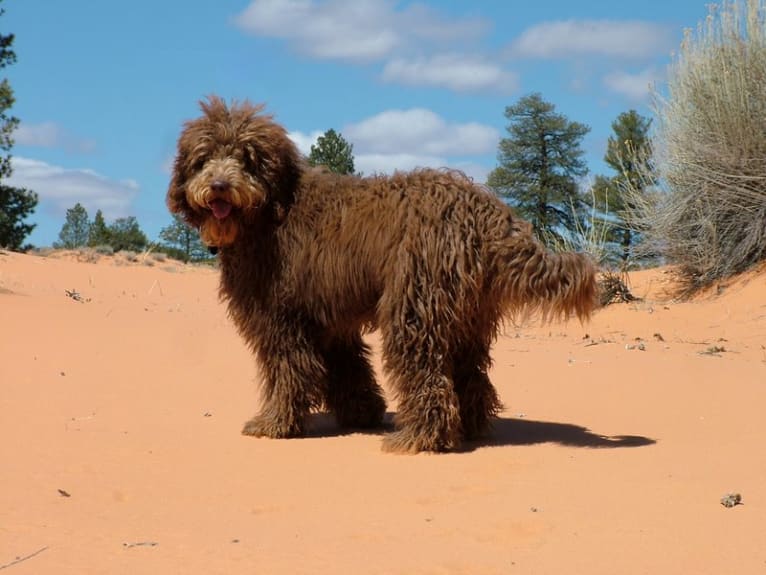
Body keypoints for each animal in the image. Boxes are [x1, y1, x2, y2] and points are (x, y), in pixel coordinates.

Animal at [170, 97, 600, 452]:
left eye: (246, 158)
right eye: (204, 158)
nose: (219, 187)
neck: (271, 209)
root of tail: (485, 211)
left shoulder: (282, 318)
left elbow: (288, 371)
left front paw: (274, 423)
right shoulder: (329, 320)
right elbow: (347, 369)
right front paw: (362, 413)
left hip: (415, 307)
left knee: (426, 373)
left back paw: (419, 438)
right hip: (467, 316)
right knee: (470, 374)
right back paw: (469, 429)